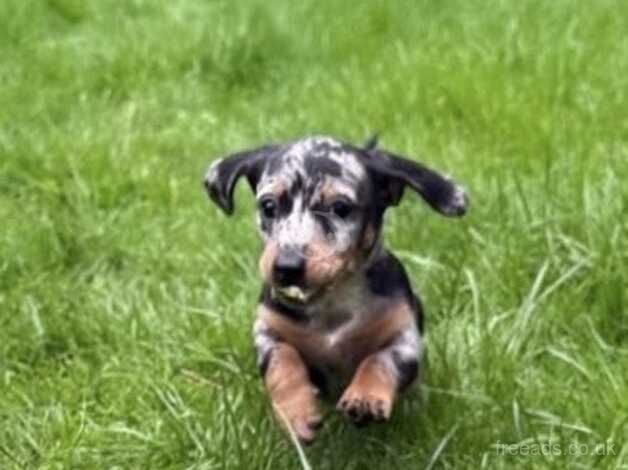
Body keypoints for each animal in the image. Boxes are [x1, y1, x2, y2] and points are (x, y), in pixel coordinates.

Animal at [204, 134, 468, 442]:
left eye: (340, 208)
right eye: (268, 206)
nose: (286, 267)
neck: (332, 301)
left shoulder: (404, 339)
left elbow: (379, 360)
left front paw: (365, 397)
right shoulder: (268, 331)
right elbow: (283, 363)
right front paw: (296, 412)